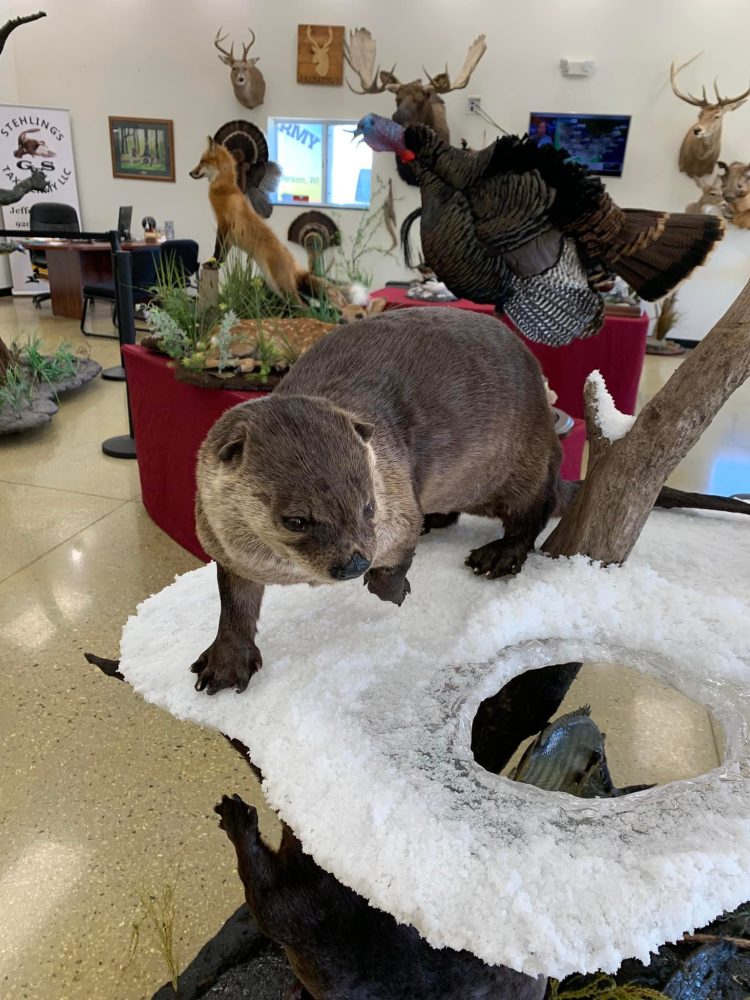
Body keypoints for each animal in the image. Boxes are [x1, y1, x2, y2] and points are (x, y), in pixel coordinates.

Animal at [193, 307, 563, 694]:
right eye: (296, 521)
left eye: (368, 507)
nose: (355, 563)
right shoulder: (225, 546)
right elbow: (234, 604)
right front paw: (226, 661)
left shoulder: (399, 500)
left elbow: (400, 552)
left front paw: (396, 589)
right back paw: (437, 521)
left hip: (523, 460)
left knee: (535, 508)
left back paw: (499, 555)